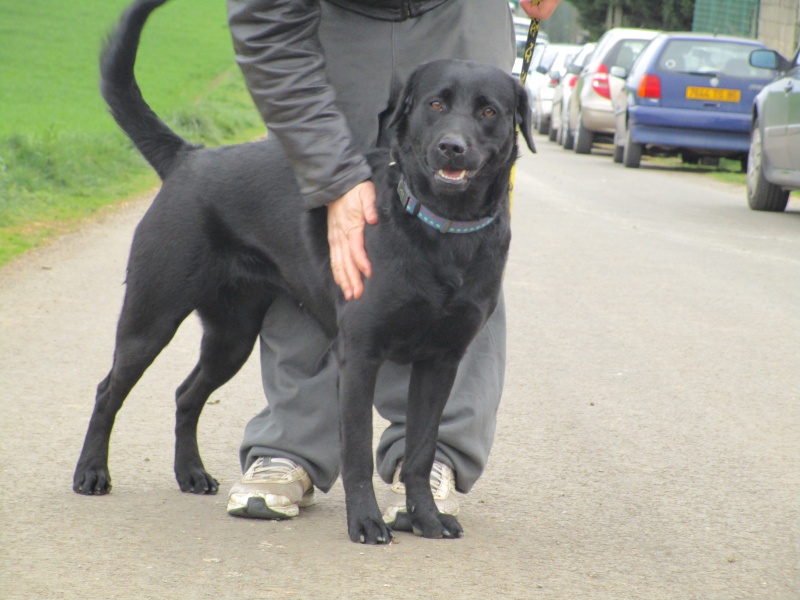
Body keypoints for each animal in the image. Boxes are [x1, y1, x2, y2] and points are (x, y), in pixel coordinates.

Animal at [73, 0, 532, 544]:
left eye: (489, 111)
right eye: (436, 105)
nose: (452, 147)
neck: (440, 230)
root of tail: (189, 157)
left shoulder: (441, 362)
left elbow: (420, 452)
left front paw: (425, 517)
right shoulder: (359, 357)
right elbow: (356, 453)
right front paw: (366, 521)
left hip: (231, 337)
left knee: (187, 394)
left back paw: (191, 473)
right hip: (151, 317)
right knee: (108, 391)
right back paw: (91, 473)